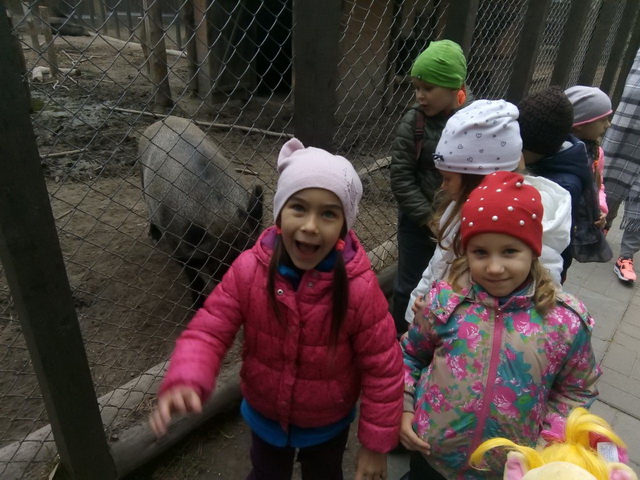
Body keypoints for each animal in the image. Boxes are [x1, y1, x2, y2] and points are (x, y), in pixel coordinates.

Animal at [139, 116, 263, 309]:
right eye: (218, 276)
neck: (219, 215)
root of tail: (161, 121)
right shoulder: (180, 247)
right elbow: (194, 279)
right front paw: (197, 306)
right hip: (141, 177)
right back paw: (154, 238)